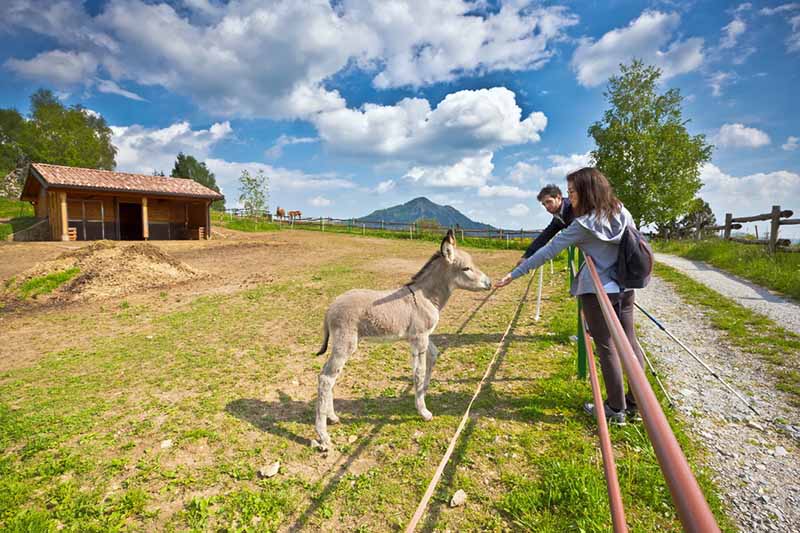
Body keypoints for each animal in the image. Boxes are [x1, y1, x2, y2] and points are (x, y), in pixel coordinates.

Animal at [314, 229, 490, 448]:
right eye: (466, 268)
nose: (490, 283)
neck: (426, 296)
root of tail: (331, 307)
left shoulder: (422, 336)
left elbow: (433, 356)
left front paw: (423, 393)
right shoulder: (420, 338)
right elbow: (419, 372)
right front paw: (423, 411)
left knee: (328, 375)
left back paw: (332, 417)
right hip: (346, 344)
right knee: (326, 379)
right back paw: (323, 435)